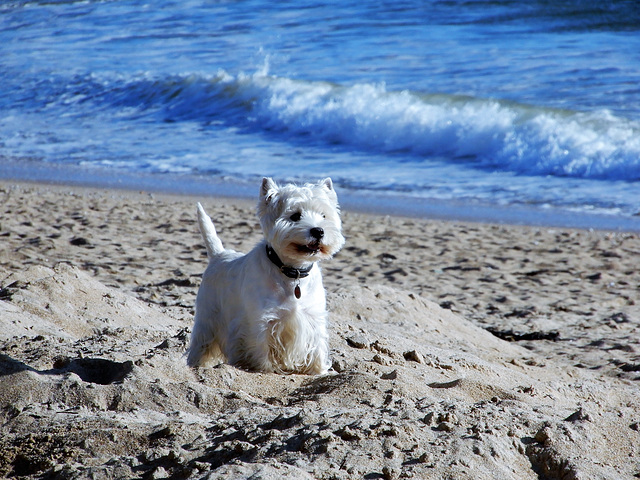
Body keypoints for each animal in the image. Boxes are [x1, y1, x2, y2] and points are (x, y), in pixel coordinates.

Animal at [186, 177, 344, 376]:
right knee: (202, 342)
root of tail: (219, 254)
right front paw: (265, 369)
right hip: (208, 316)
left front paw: (319, 370)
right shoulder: (262, 320)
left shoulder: (312, 317)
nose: (318, 231)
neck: (293, 272)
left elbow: (317, 346)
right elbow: (261, 345)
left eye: (323, 215)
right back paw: (196, 364)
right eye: (295, 216)